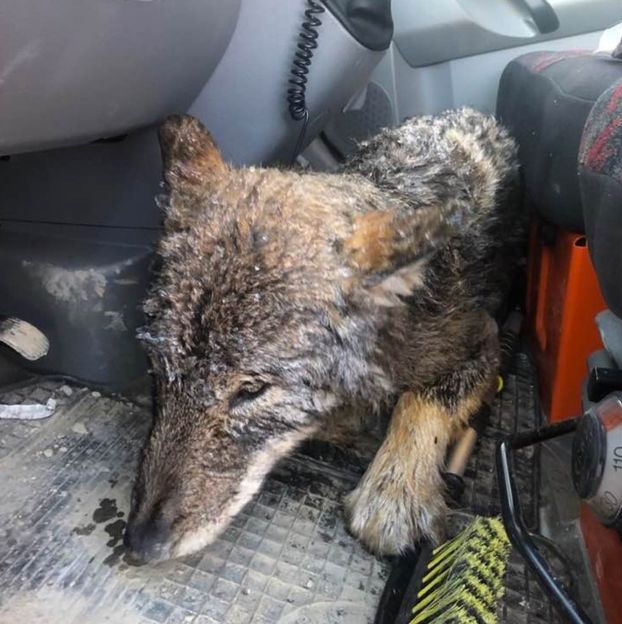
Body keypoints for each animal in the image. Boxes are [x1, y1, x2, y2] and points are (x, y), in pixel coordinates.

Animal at [123, 109, 520, 564]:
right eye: (158, 368)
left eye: (252, 390)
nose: (138, 544)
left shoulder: (483, 339)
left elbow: (425, 399)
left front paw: (395, 491)